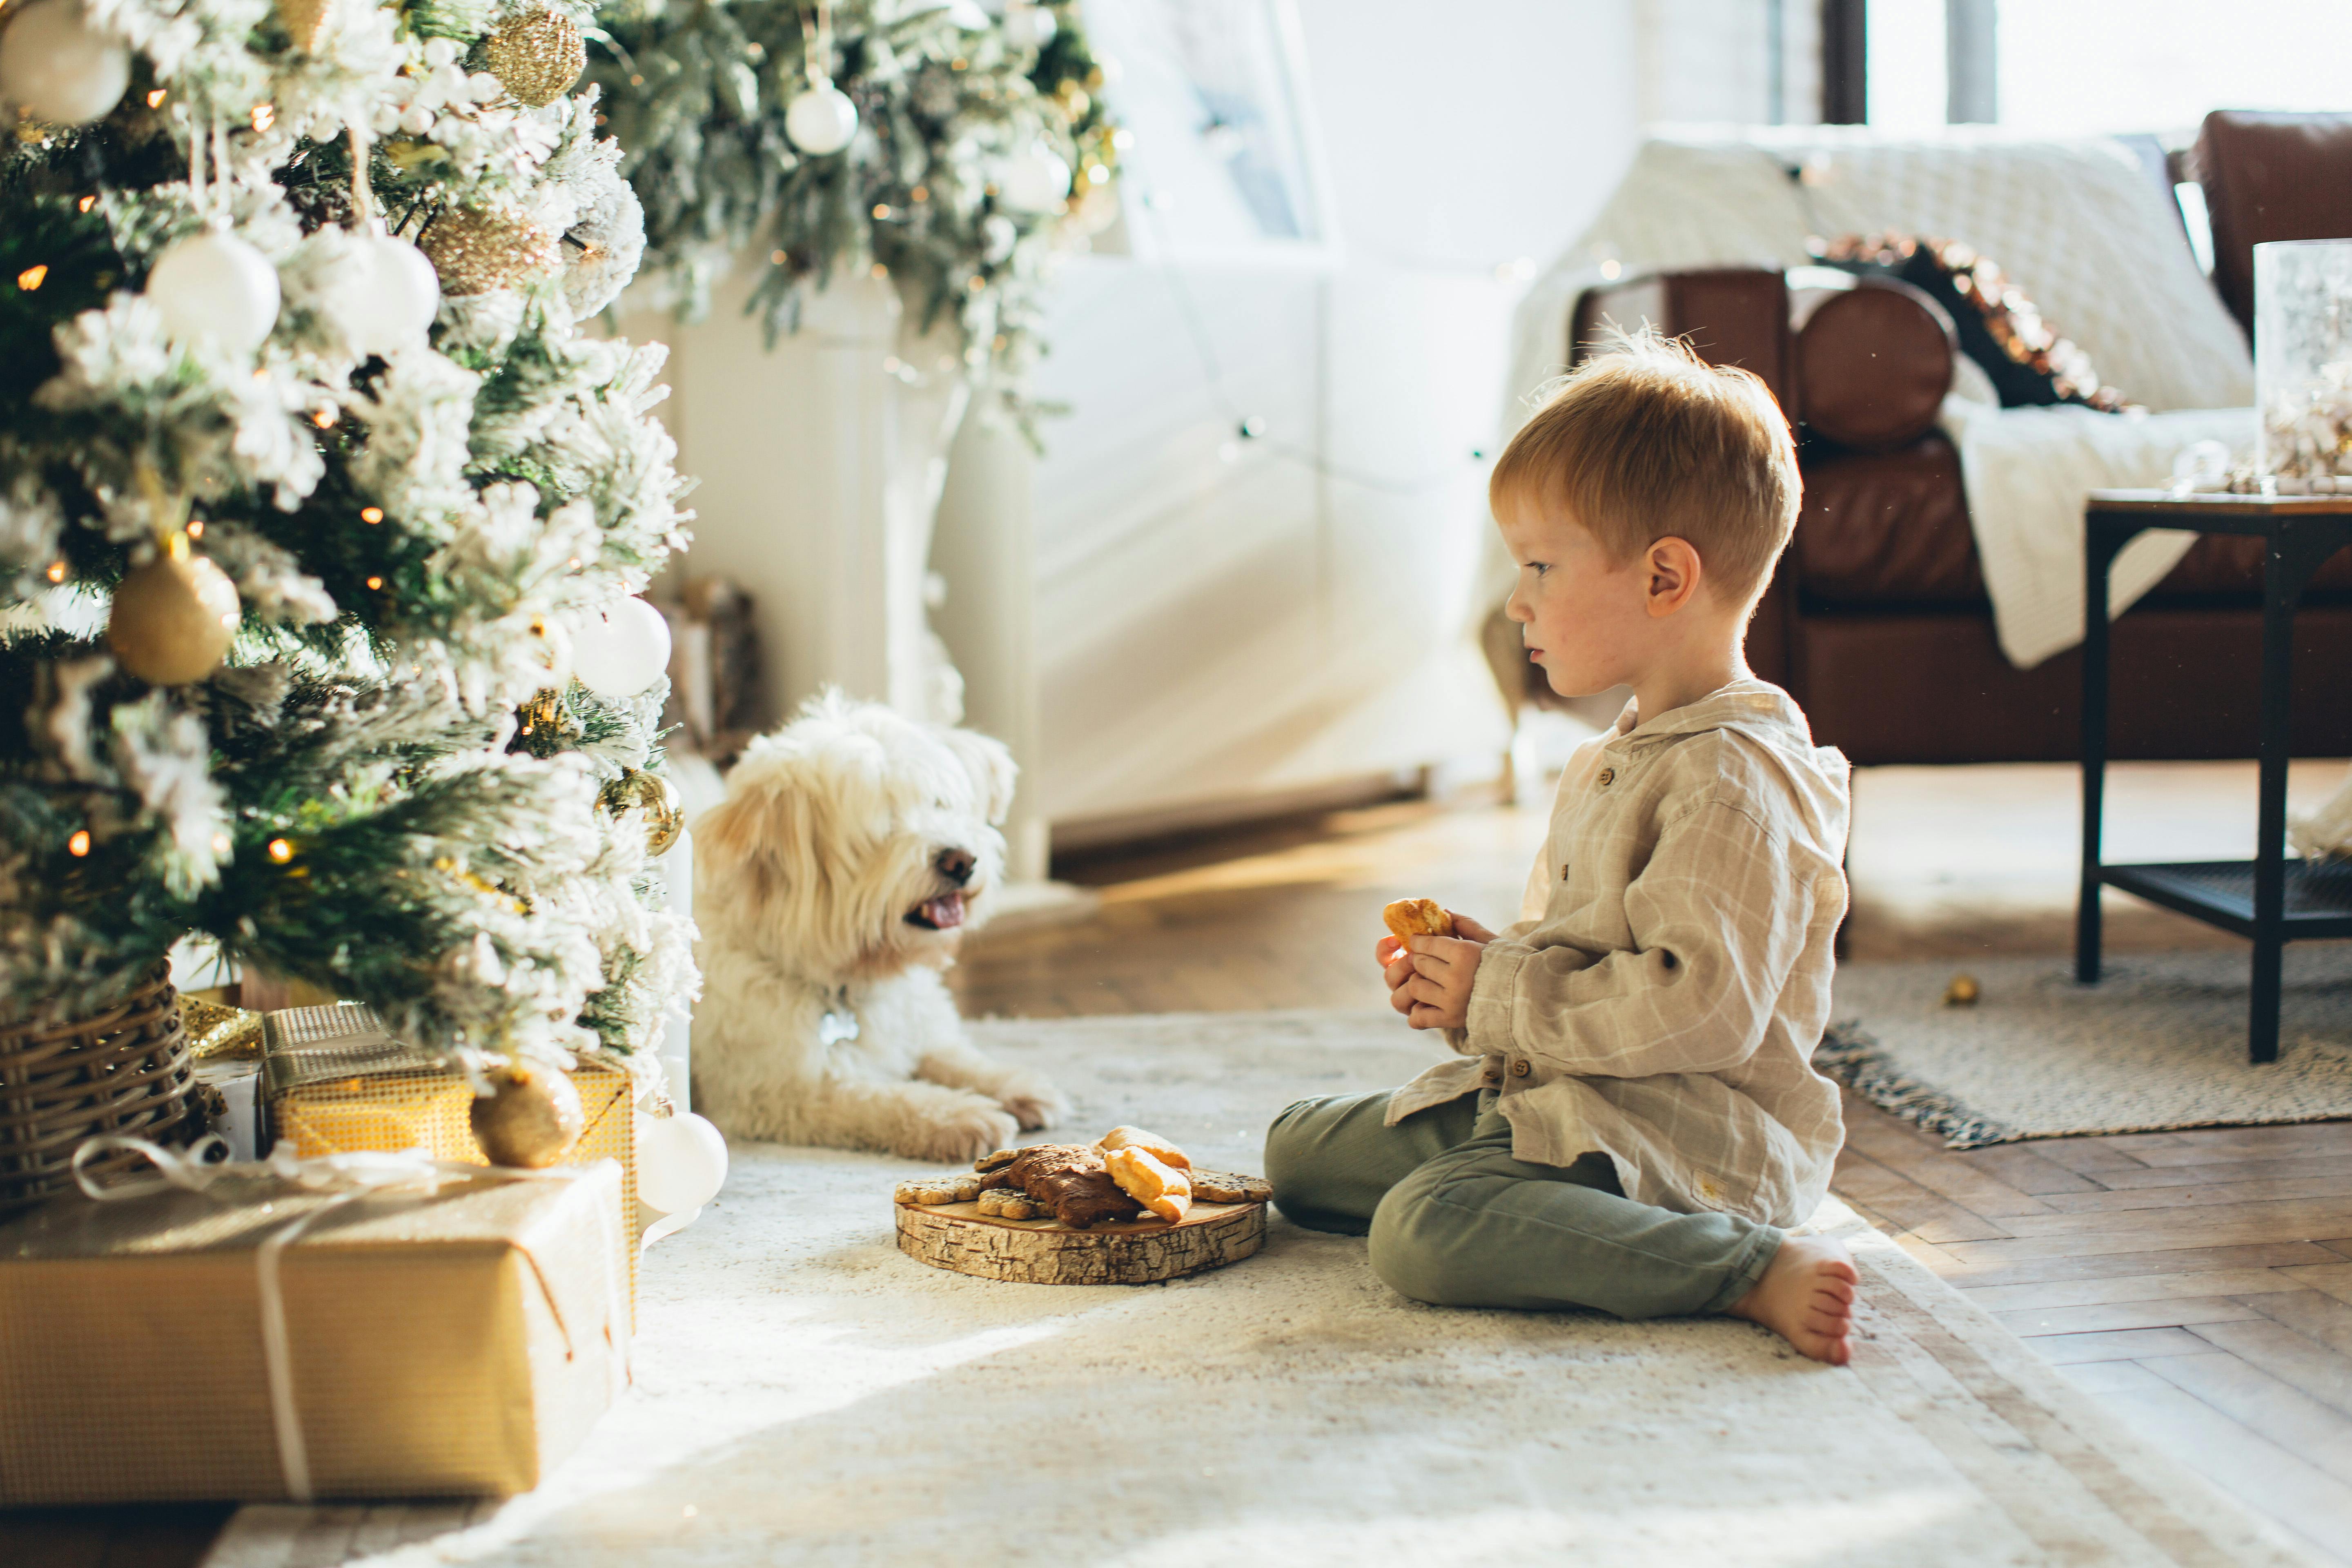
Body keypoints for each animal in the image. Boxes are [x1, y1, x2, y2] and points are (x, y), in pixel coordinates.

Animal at [691, 691, 1072, 1161]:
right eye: (884, 826)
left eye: (939, 803)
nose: (960, 861)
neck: (852, 978)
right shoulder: (778, 1094)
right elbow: (882, 1098)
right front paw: (959, 1115)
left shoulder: (919, 1031)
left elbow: (954, 1056)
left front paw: (1014, 1084)